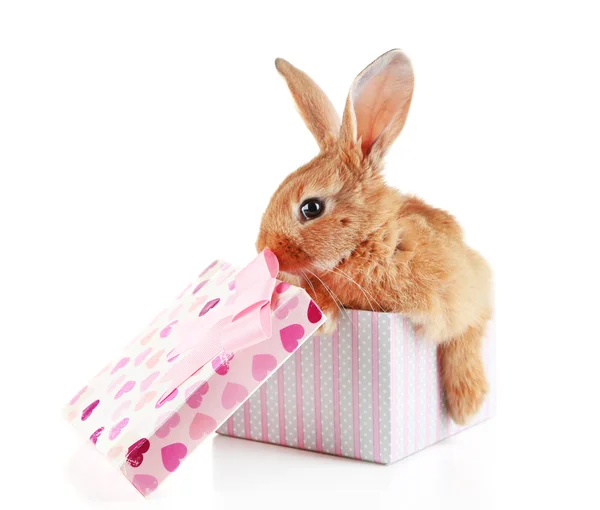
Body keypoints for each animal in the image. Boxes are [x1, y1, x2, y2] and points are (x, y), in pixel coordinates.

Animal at [255, 50, 494, 426]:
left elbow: (466, 335)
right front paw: (322, 317)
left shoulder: (468, 293)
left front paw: (467, 404)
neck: (368, 239)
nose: (263, 250)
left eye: (311, 207)